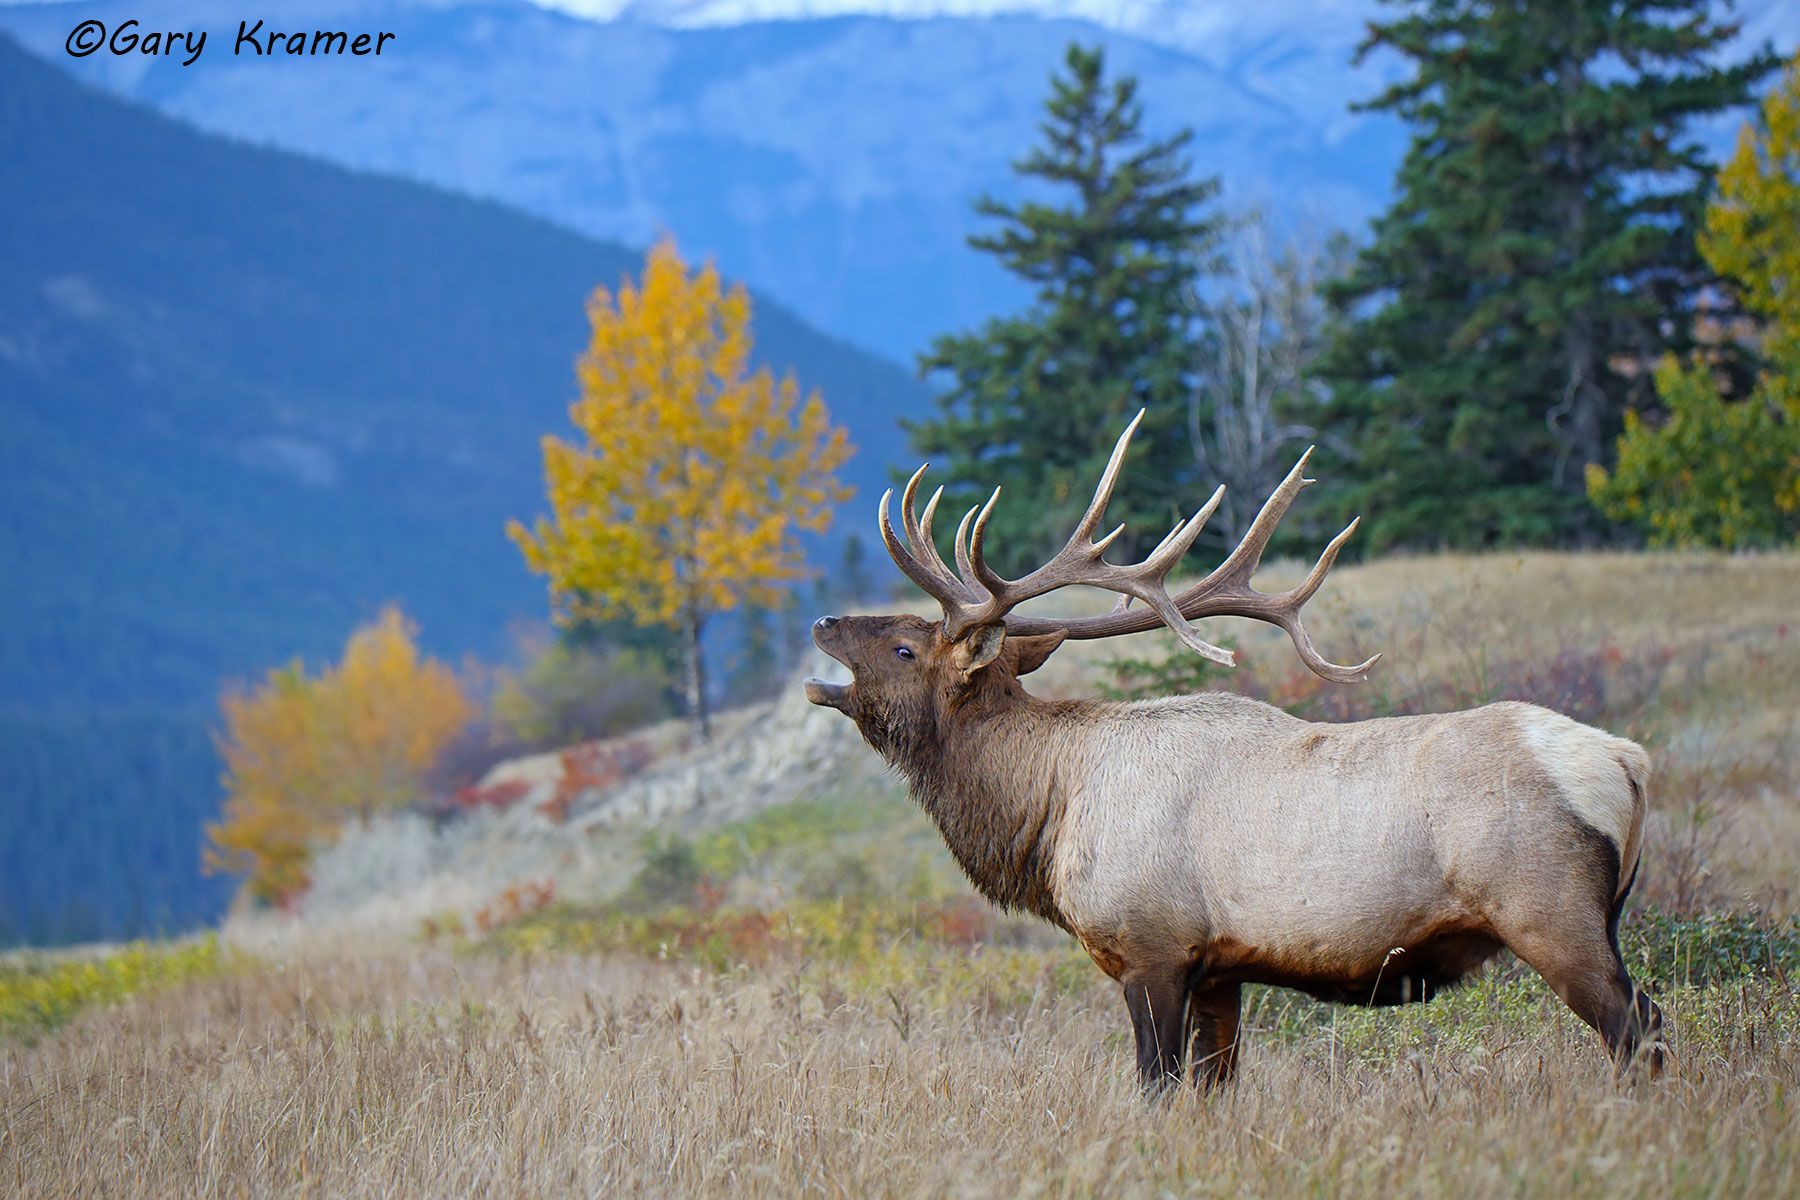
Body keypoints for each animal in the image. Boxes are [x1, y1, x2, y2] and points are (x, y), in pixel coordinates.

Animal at [804, 412, 1664, 1093]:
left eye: (906, 646)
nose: (823, 621)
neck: (1047, 813)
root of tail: (1629, 763)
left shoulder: (1151, 946)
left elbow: (1157, 1085)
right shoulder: (1218, 969)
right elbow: (1214, 1090)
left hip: (1550, 911)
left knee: (1640, 1027)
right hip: (1600, 915)